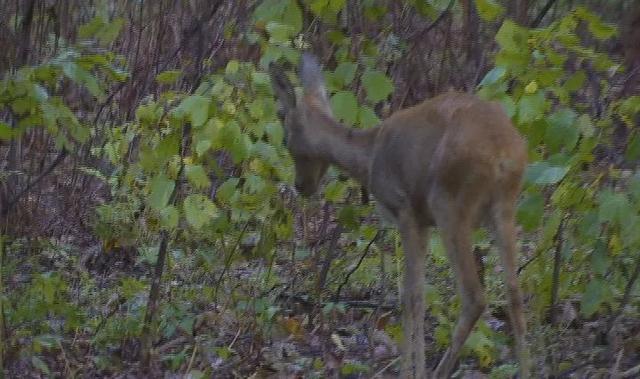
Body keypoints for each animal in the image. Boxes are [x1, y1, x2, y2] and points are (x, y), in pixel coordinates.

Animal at [268, 54, 528, 379]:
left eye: (284, 128)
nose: (301, 186)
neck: (368, 157)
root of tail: (503, 152)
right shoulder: (424, 222)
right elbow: (420, 294)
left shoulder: (405, 209)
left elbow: (411, 296)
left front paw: (410, 371)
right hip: (505, 207)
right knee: (515, 292)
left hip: (449, 204)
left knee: (474, 296)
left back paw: (440, 371)